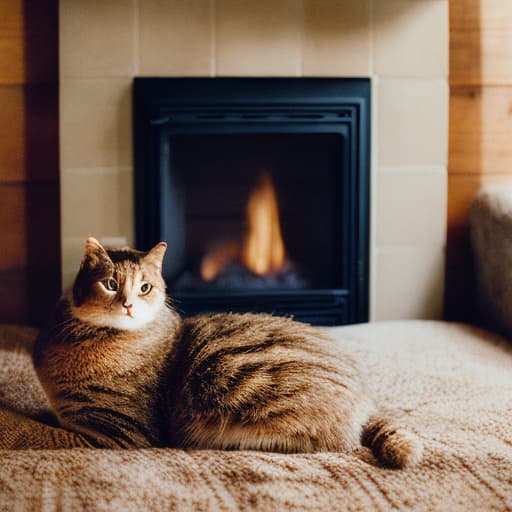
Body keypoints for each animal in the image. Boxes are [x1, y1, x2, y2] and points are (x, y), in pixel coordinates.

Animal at [32, 238, 424, 466]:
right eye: (111, 284)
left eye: (144, 288)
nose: (128, 304)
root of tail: (365, 399)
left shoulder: (120, 432)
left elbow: (47, 434)